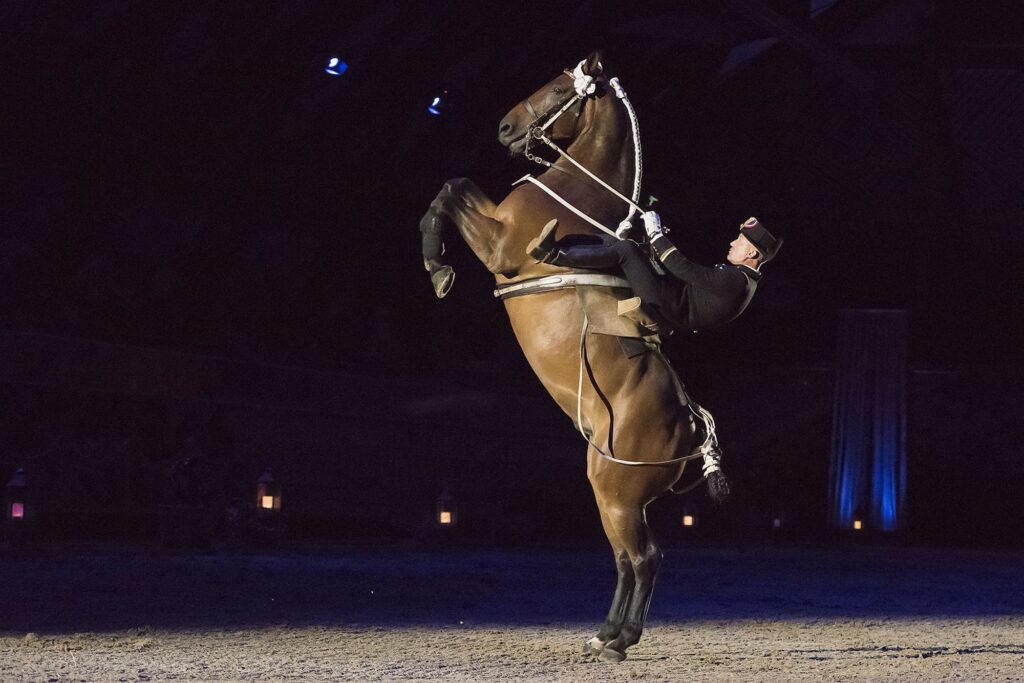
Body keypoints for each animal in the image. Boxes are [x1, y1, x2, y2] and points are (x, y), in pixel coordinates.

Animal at [415, 49, 704, 663]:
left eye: (555, 89)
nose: (504, 127)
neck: (576, 193)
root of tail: (693, 430)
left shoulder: (501, 245)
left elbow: (452, 189)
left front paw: (438, 267)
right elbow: (454, 185)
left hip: (617, 494)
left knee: (642, 558)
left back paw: (619, 640)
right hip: (612, 492)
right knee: (628, 559)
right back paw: (604, 634)